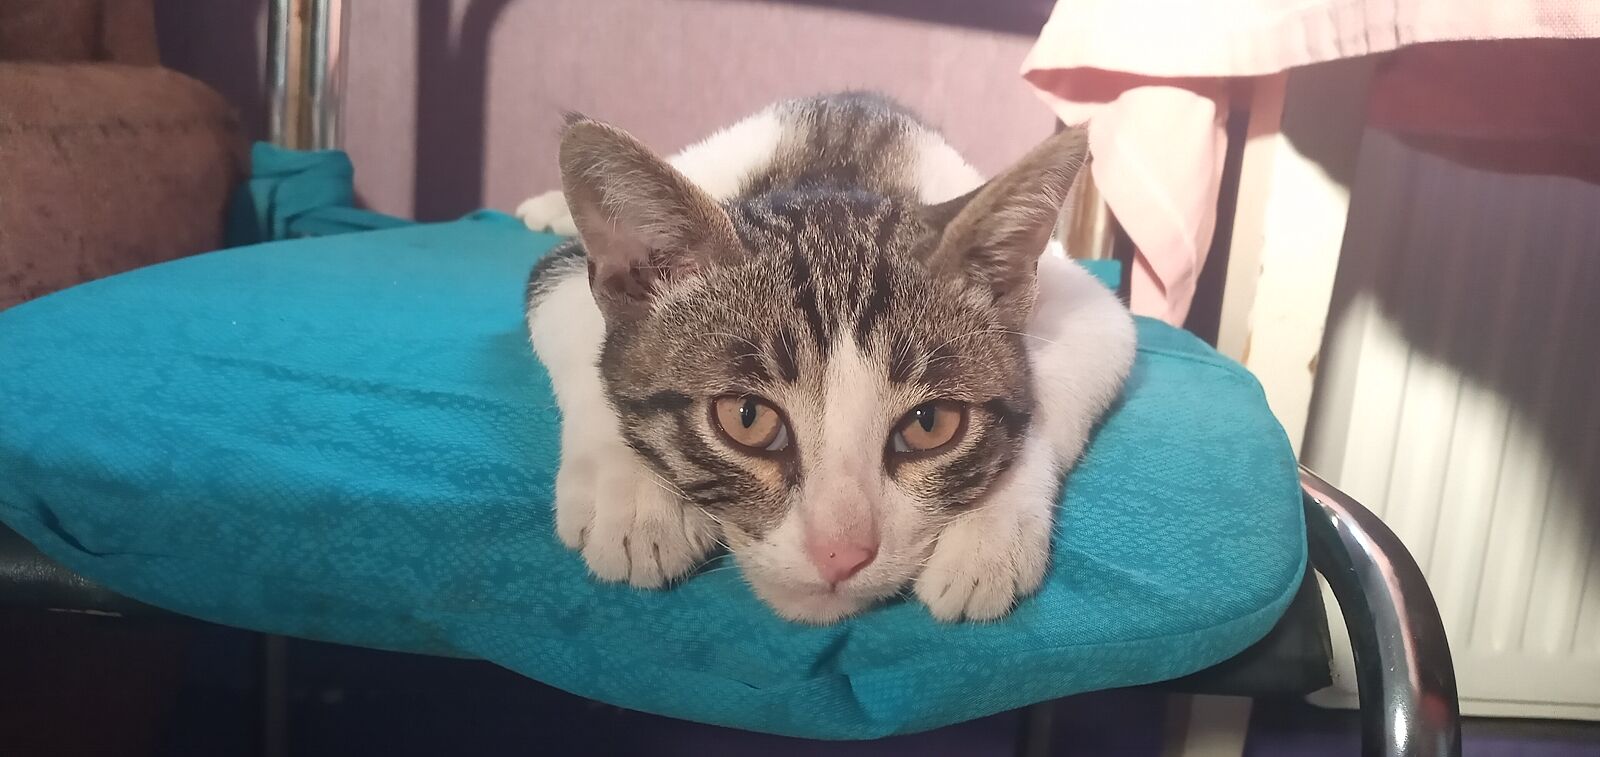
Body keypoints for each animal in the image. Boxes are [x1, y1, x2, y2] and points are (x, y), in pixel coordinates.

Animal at [521, 92, 1135, 624]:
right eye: (746, 417)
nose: (841, 554)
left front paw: (987, 531)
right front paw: (634, 496)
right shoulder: (562, 271)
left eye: (931, 424)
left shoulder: (1095, 309)